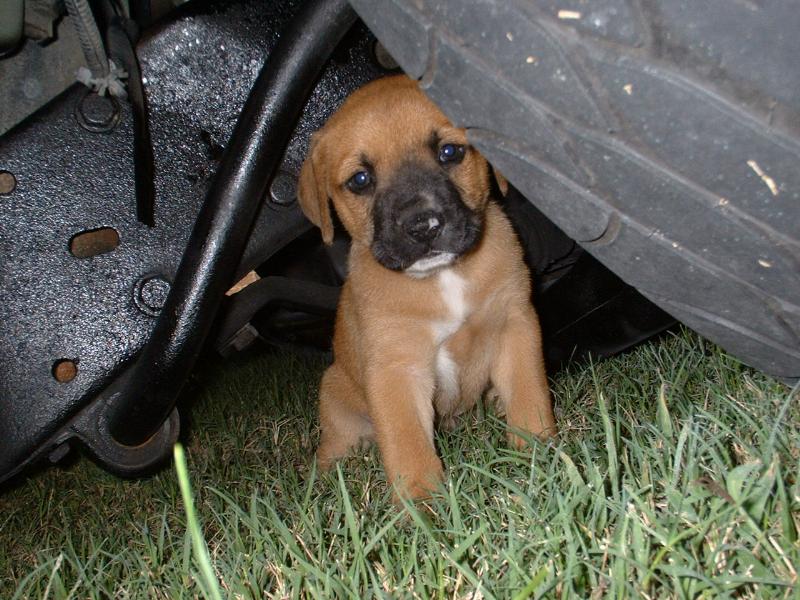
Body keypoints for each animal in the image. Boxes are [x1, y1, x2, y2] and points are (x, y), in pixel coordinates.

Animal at [297, 75, 556, 499]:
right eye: (360, 180)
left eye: (450, 152)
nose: (423, 226)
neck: (442, 278)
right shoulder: (396, 368)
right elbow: (408, 446)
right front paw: (424, 506)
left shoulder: (515, 325)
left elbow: (528, 394)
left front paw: (540, 455)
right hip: (333, 393)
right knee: (335, 445)